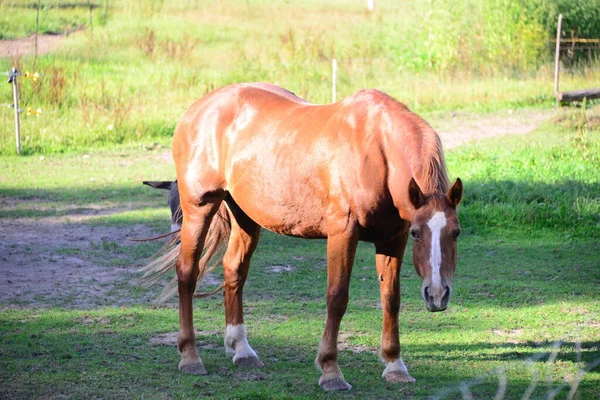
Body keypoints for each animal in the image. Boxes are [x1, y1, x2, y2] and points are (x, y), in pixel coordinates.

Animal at [142, 83, 464, 392]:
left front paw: (395, 366)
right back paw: (190, 356)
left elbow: (391, 299)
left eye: (456, 233)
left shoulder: (392, 239)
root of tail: (197, 109)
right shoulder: (343, 232)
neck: (377, 150)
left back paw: (242, 350)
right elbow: (337, 297)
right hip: (198, 209)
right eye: (418, 233)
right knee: (187, 273)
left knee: (234, 270)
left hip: (245, 216)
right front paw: (330, 371)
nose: (438, 295)